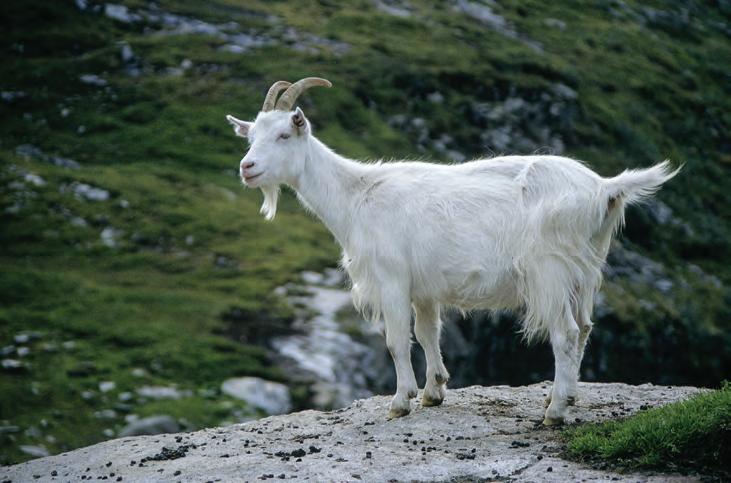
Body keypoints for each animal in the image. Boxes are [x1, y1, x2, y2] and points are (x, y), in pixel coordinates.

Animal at [226, 77, 680, 425]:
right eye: (251, 136)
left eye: (284, 134)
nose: (247, 168)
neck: (357, 195)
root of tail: (604, 188)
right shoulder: (424, 289)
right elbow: (429, 333)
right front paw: (434, 391)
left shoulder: (392, 279)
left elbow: (396, 340)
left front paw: (400, 402)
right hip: (584, 271)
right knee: (584, 328)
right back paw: (564, 398)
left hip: (549, 270)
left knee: (565, 332)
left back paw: (554, 412)